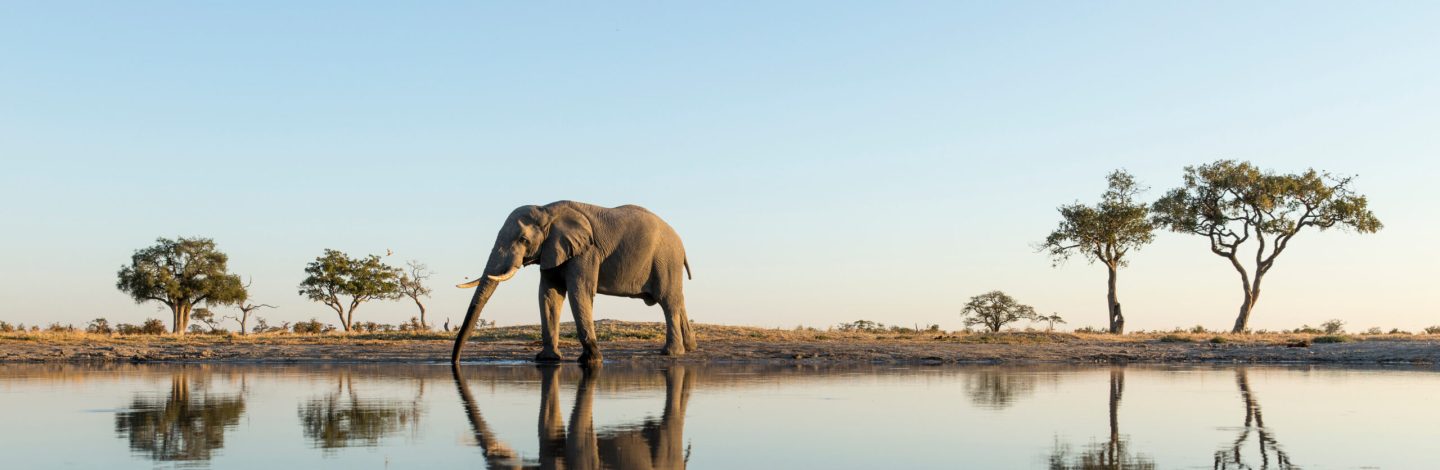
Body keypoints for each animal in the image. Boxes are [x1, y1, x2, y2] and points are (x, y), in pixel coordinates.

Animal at [452, 200, 694, 364]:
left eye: (523, 240)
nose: (455, 362)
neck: (547, 210)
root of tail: (681, 243)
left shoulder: (586, 251)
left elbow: (580, 291)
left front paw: (591, 360)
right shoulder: (551, 251)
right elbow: (549, 294)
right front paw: (547, 359)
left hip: (665, 259)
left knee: (668, 301)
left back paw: (671, 353)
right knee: (678, 300)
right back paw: (690, 347)